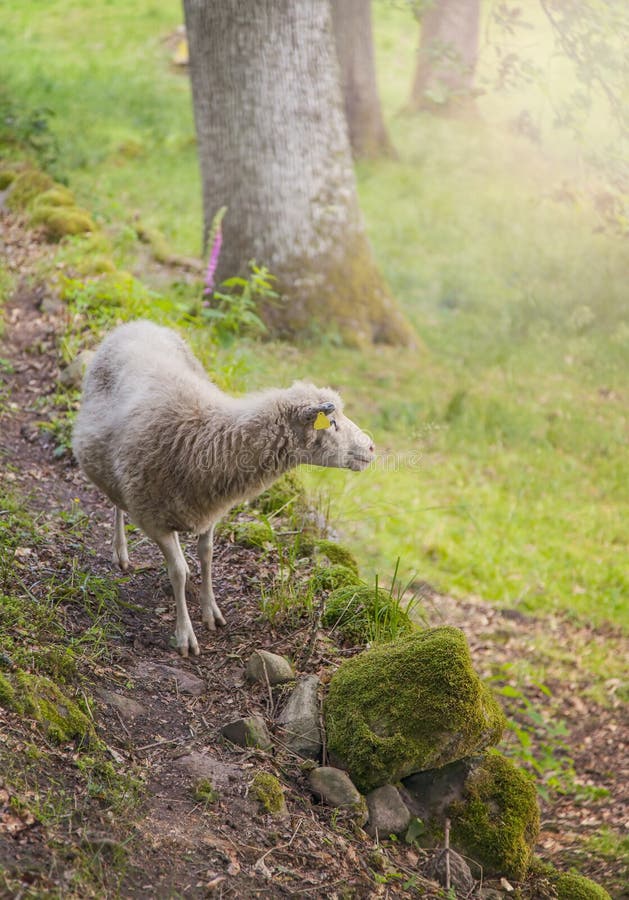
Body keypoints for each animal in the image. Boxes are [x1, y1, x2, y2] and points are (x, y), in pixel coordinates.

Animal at [72, 320, 375, 656]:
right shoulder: (153, 519)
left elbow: (206, 557)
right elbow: (179, 571)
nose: (371, 448)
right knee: (116, 503)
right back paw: (120, 550)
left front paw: (211, 612)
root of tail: (138, 323)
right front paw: (185, 634)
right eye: (332, 423)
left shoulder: (209, 509)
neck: (207, 439)